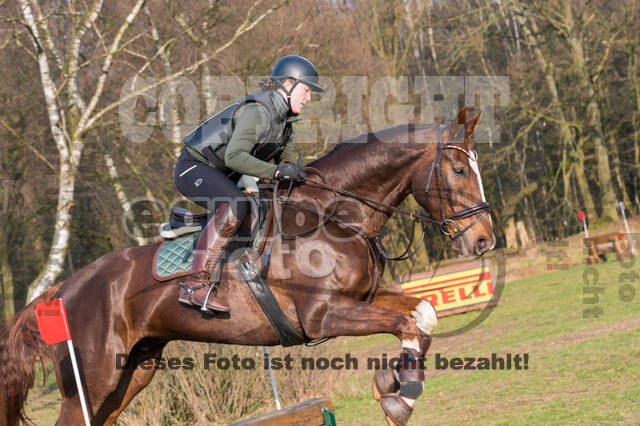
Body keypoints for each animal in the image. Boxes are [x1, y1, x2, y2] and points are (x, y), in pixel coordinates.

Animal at [1, 107, 496, 426]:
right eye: (458, 170)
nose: (484, 240)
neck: (336, 216)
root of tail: (61, 290)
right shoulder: (324, 316)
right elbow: (404, 323)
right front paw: (398, 397)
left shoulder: (364, 299)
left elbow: (423, 315)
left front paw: (396, 389)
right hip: (92, 379)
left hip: (132, 372)